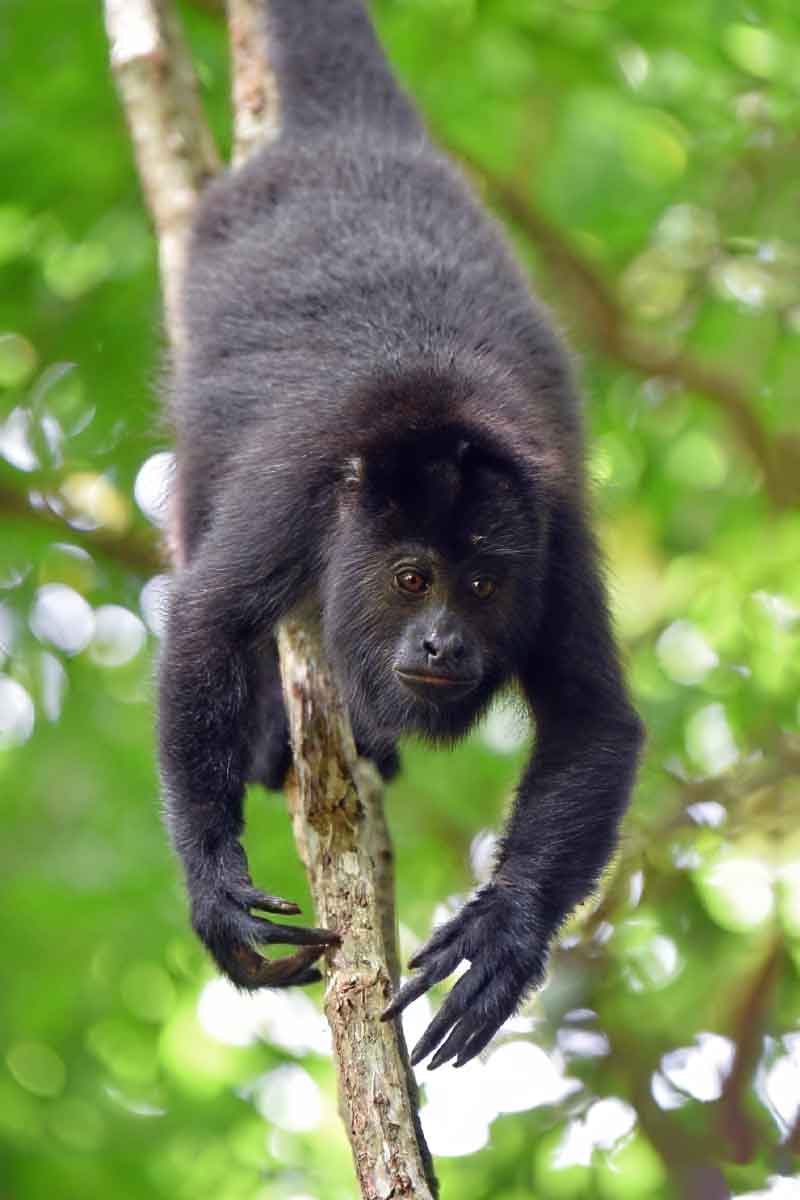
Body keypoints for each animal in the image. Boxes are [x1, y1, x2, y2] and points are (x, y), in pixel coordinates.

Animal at [160, 0, 644, 1071]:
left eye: (485, 588)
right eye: (415, 579)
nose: (441, 644)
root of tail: (353, 136)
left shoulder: (557, 539)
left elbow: (594, 719)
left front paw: (503, 936)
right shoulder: (298, 489)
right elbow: (208, 620)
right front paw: (215, 889)